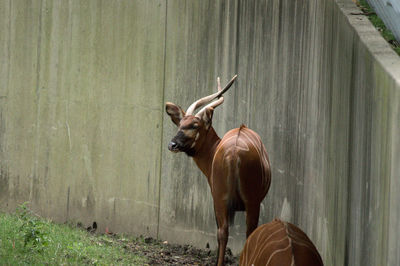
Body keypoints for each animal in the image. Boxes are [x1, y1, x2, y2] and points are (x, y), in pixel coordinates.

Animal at [166, 75, 272, 266]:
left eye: (194, 125)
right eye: (180, 124)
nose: (172, 145)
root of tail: (234, 151)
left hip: (226, 200)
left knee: (225, 232)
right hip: (246, 201)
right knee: (241, 232)